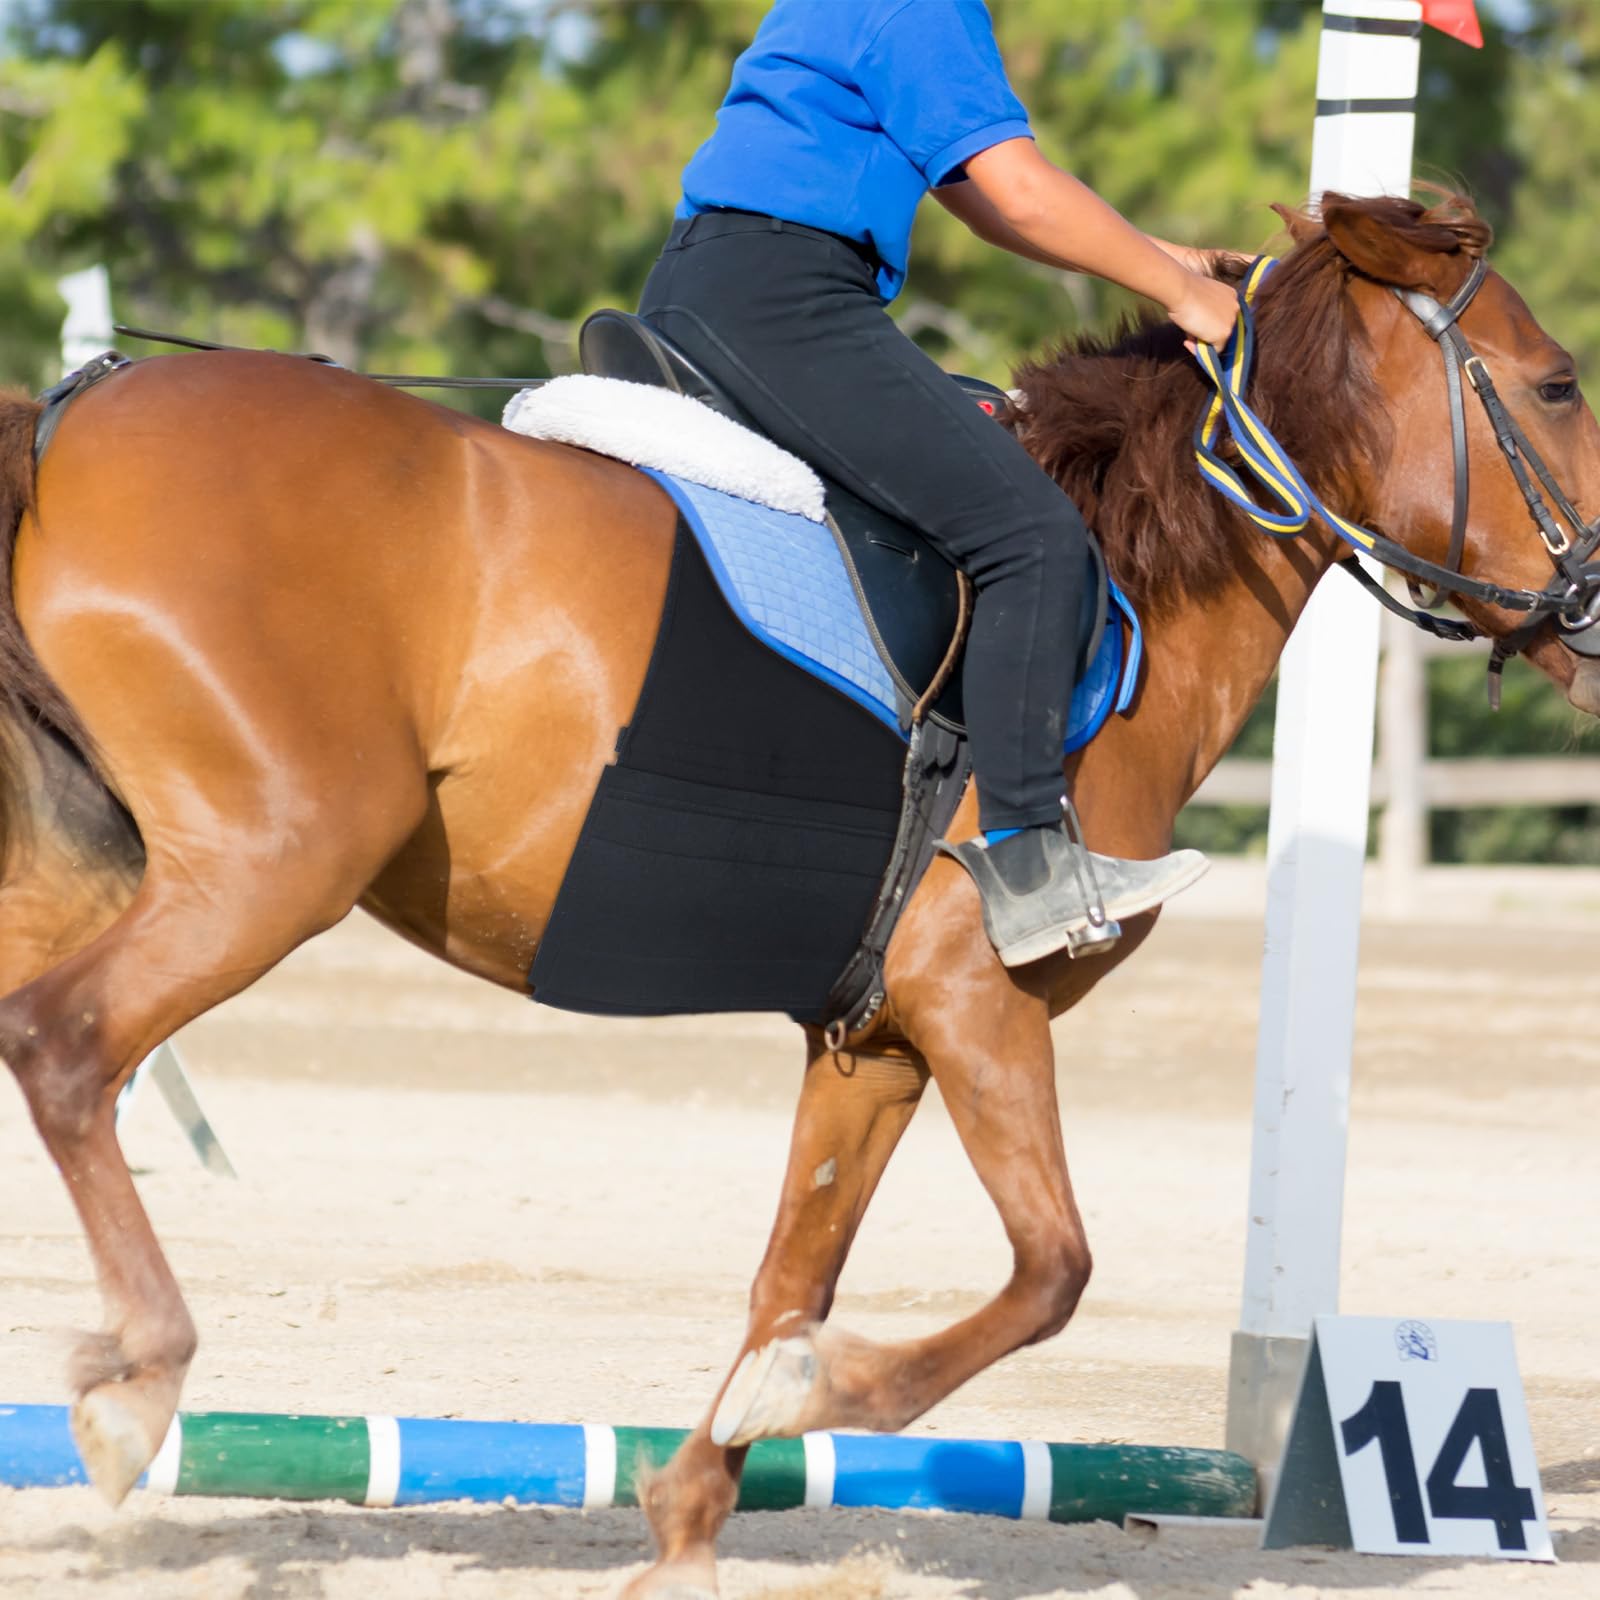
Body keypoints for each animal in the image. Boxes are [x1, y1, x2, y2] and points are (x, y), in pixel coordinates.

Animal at [1, 190, 1596, 1598]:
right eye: (1559, 385)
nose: (1593, 614)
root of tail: (73, 418)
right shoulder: (977, 996)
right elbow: (1051, 1271)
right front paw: (803, 1397)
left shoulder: (876, 1042)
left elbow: (793, 1276)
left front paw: (695, 1512)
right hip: (277, 862)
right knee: (66, 1046)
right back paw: (138, 1381)